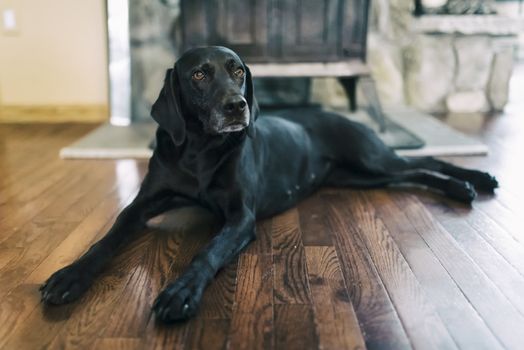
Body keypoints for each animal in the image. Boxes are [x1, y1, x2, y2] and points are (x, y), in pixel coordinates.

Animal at [39, 46, 498, 322]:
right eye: (199, 75)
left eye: (238, 71)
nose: (237, 106)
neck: (200, 151)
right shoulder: (142, 204)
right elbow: (107, 239)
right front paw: (69, 276)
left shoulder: (240, 218)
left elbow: (207, 251)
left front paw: (181, 292)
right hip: (363, 176)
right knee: (412, 171)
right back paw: (466, 186)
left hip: (370, 158)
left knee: (423, 161)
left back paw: (473, 182)